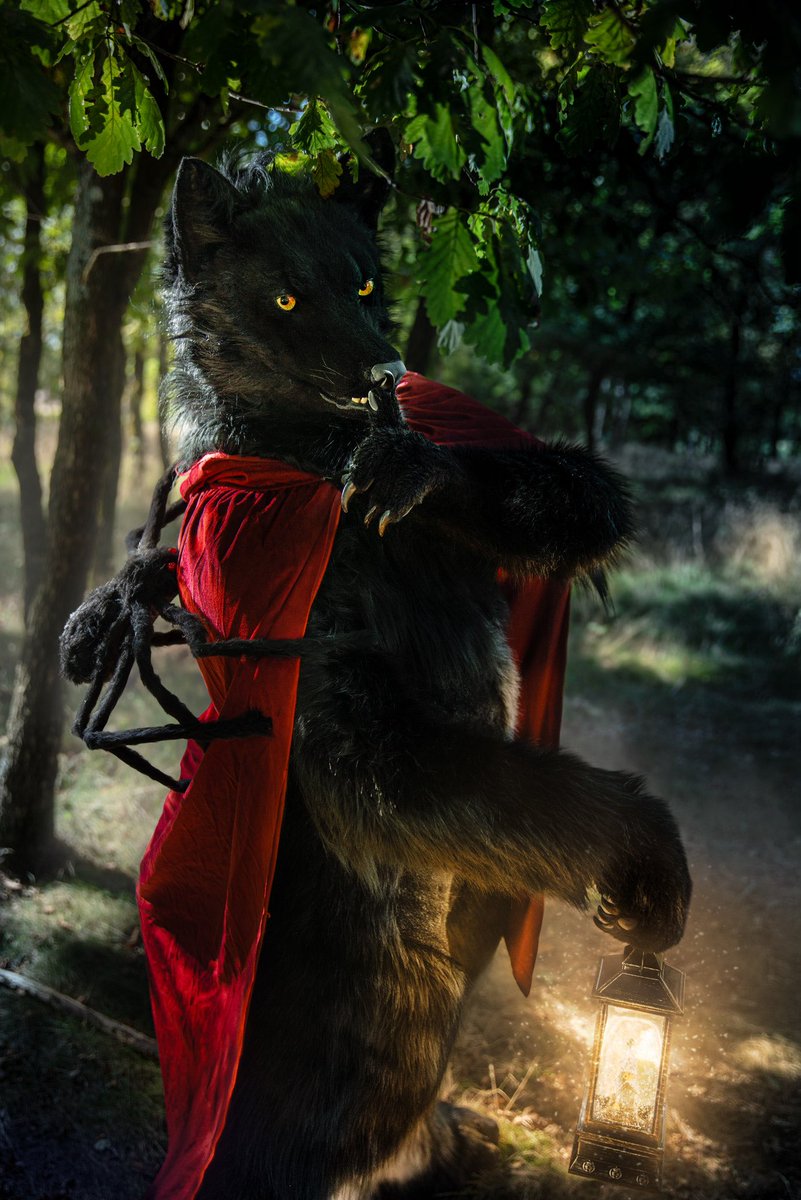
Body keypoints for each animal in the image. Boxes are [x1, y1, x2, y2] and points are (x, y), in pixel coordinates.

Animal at [146, 151, 692, 1200]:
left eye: (365, 284)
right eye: (284, 297)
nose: (385, 374)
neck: (314, 466)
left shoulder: (525, 474)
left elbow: (563, 486)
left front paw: (408, 467)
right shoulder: (356, 730)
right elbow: (512, 788)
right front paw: (646, 859)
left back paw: (452, 1137)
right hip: (380, 1030)